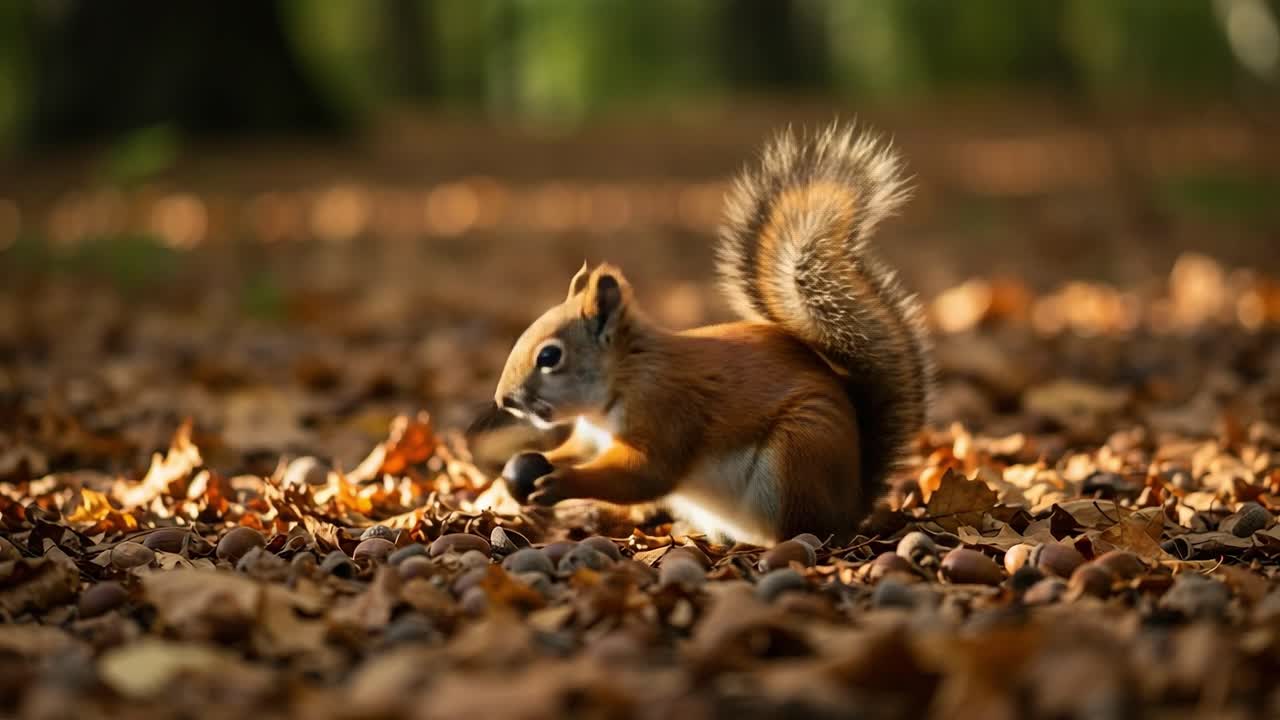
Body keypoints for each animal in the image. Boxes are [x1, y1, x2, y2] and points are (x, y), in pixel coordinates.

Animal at [490, 123, 933, 546]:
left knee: (799, 528)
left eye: (550, 356)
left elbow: (646, 474)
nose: (503, 400)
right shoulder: (592, 437)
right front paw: (516, 471)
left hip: (799, 453)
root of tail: (851, 505)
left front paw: (561, 482)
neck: (624, 378)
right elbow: (576, 450)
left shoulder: (667, 410)